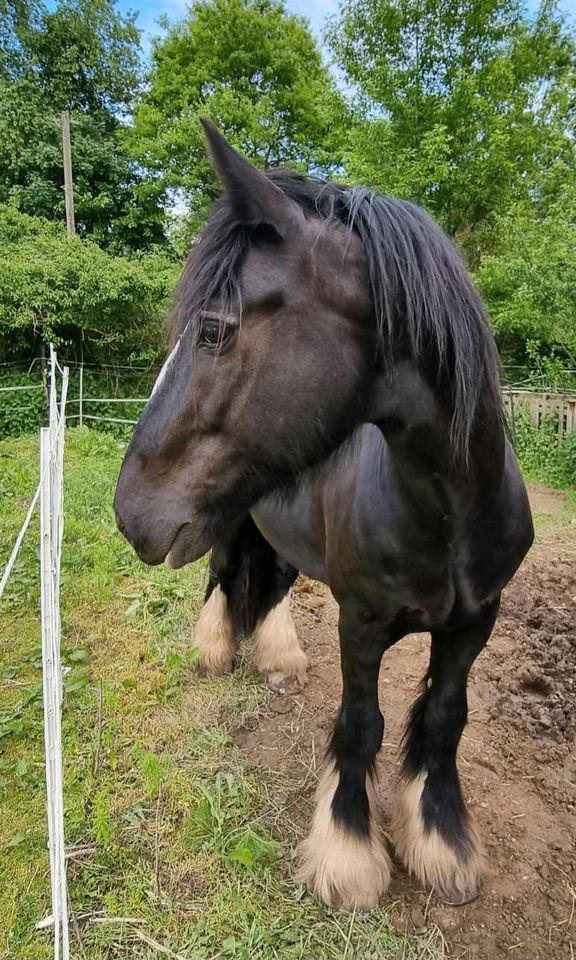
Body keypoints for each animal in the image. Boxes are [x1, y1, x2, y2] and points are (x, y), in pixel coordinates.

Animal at [115, 122, 532, 916]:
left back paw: (278, 658)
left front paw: (442, 843)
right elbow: (361, 726)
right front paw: (348, 856)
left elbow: (443, 718)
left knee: (272, 585)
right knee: (225, 582)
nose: (129, 512)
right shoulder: (360, 624)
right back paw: (216, 651)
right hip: (228, 527)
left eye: (213, 332)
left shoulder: (474, 624)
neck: (447, 514)